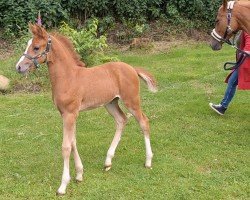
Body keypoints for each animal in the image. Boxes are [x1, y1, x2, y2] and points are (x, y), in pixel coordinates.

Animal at [14, 24, 156, 195]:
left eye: (36, 47)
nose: (19, 67)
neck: (68, 77)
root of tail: (132, 69)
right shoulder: (67, 114)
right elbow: (73, 142)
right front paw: (79, 175)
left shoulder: (69, 114)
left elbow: (66, 146)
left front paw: (63, 185)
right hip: (111, 103)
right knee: (121, 120)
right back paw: (108, 161)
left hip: (132, 101)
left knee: (143, 122)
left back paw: (148, 161)